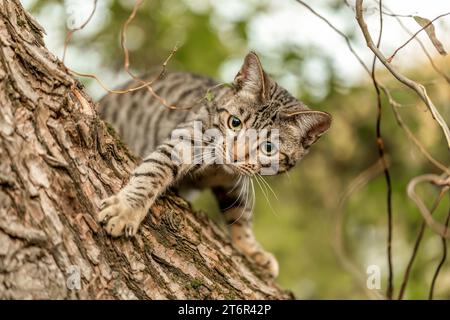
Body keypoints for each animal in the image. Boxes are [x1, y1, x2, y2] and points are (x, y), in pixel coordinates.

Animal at [98, 51, 330, 276]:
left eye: (268, 148)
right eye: (235, 122)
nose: (234, 155)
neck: (217, 170)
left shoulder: (235, 182)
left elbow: (241, 213)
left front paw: (252, 250)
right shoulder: (183, 142)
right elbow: (153, 171)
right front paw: (127, 209)